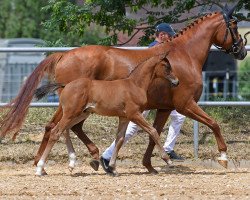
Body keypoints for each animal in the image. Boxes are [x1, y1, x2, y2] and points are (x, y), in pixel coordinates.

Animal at [34, 53, 179, 175]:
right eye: (167, 67)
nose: (177, 82)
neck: (135, 85)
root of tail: (66, 85)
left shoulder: (124, 117)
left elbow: (120, 139)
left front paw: (113, 168)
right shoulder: (134, 114)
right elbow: (153, 131)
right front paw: (168, 160)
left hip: (81, 114)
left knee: (66, 130)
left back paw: (71, 163)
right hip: (71, 114)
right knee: (56, 132)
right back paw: (40, 168)